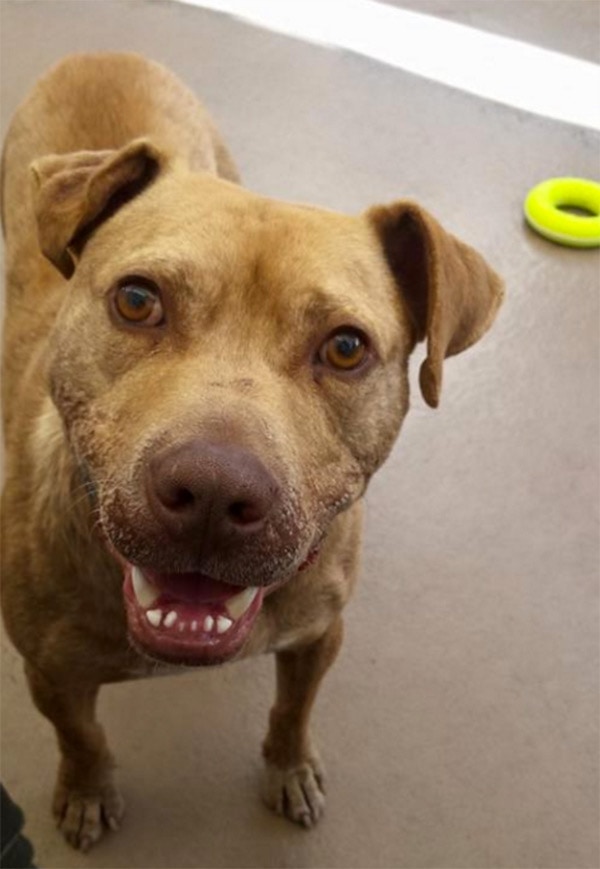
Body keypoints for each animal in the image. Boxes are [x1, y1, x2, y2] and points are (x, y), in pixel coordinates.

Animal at [1, 52, 502, 848]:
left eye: (347, 347)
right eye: (136, 300)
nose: (211, 491)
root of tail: (106, 53)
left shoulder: (317, 636)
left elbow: (293, 710)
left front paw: (289, 769)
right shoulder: (50, 673)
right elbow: (81, 737)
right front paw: (85, 789)